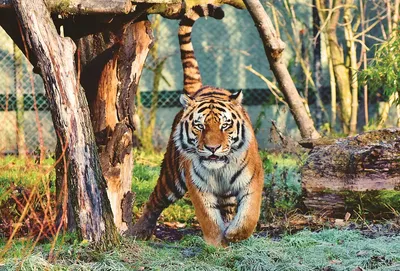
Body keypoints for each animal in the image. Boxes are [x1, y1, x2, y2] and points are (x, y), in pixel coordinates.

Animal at [130, 4, 264, 248]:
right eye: (199, 127)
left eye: (225, 126)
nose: (212, 148)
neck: (220, 170)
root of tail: (199, 88)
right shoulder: (198, 186)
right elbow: (208, 219)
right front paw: (216, 243)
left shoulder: (253, 179)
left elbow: (249, 215)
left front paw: (234, 234)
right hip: (171, 177)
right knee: (154, 201)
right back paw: (137, 232)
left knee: (229, 209)